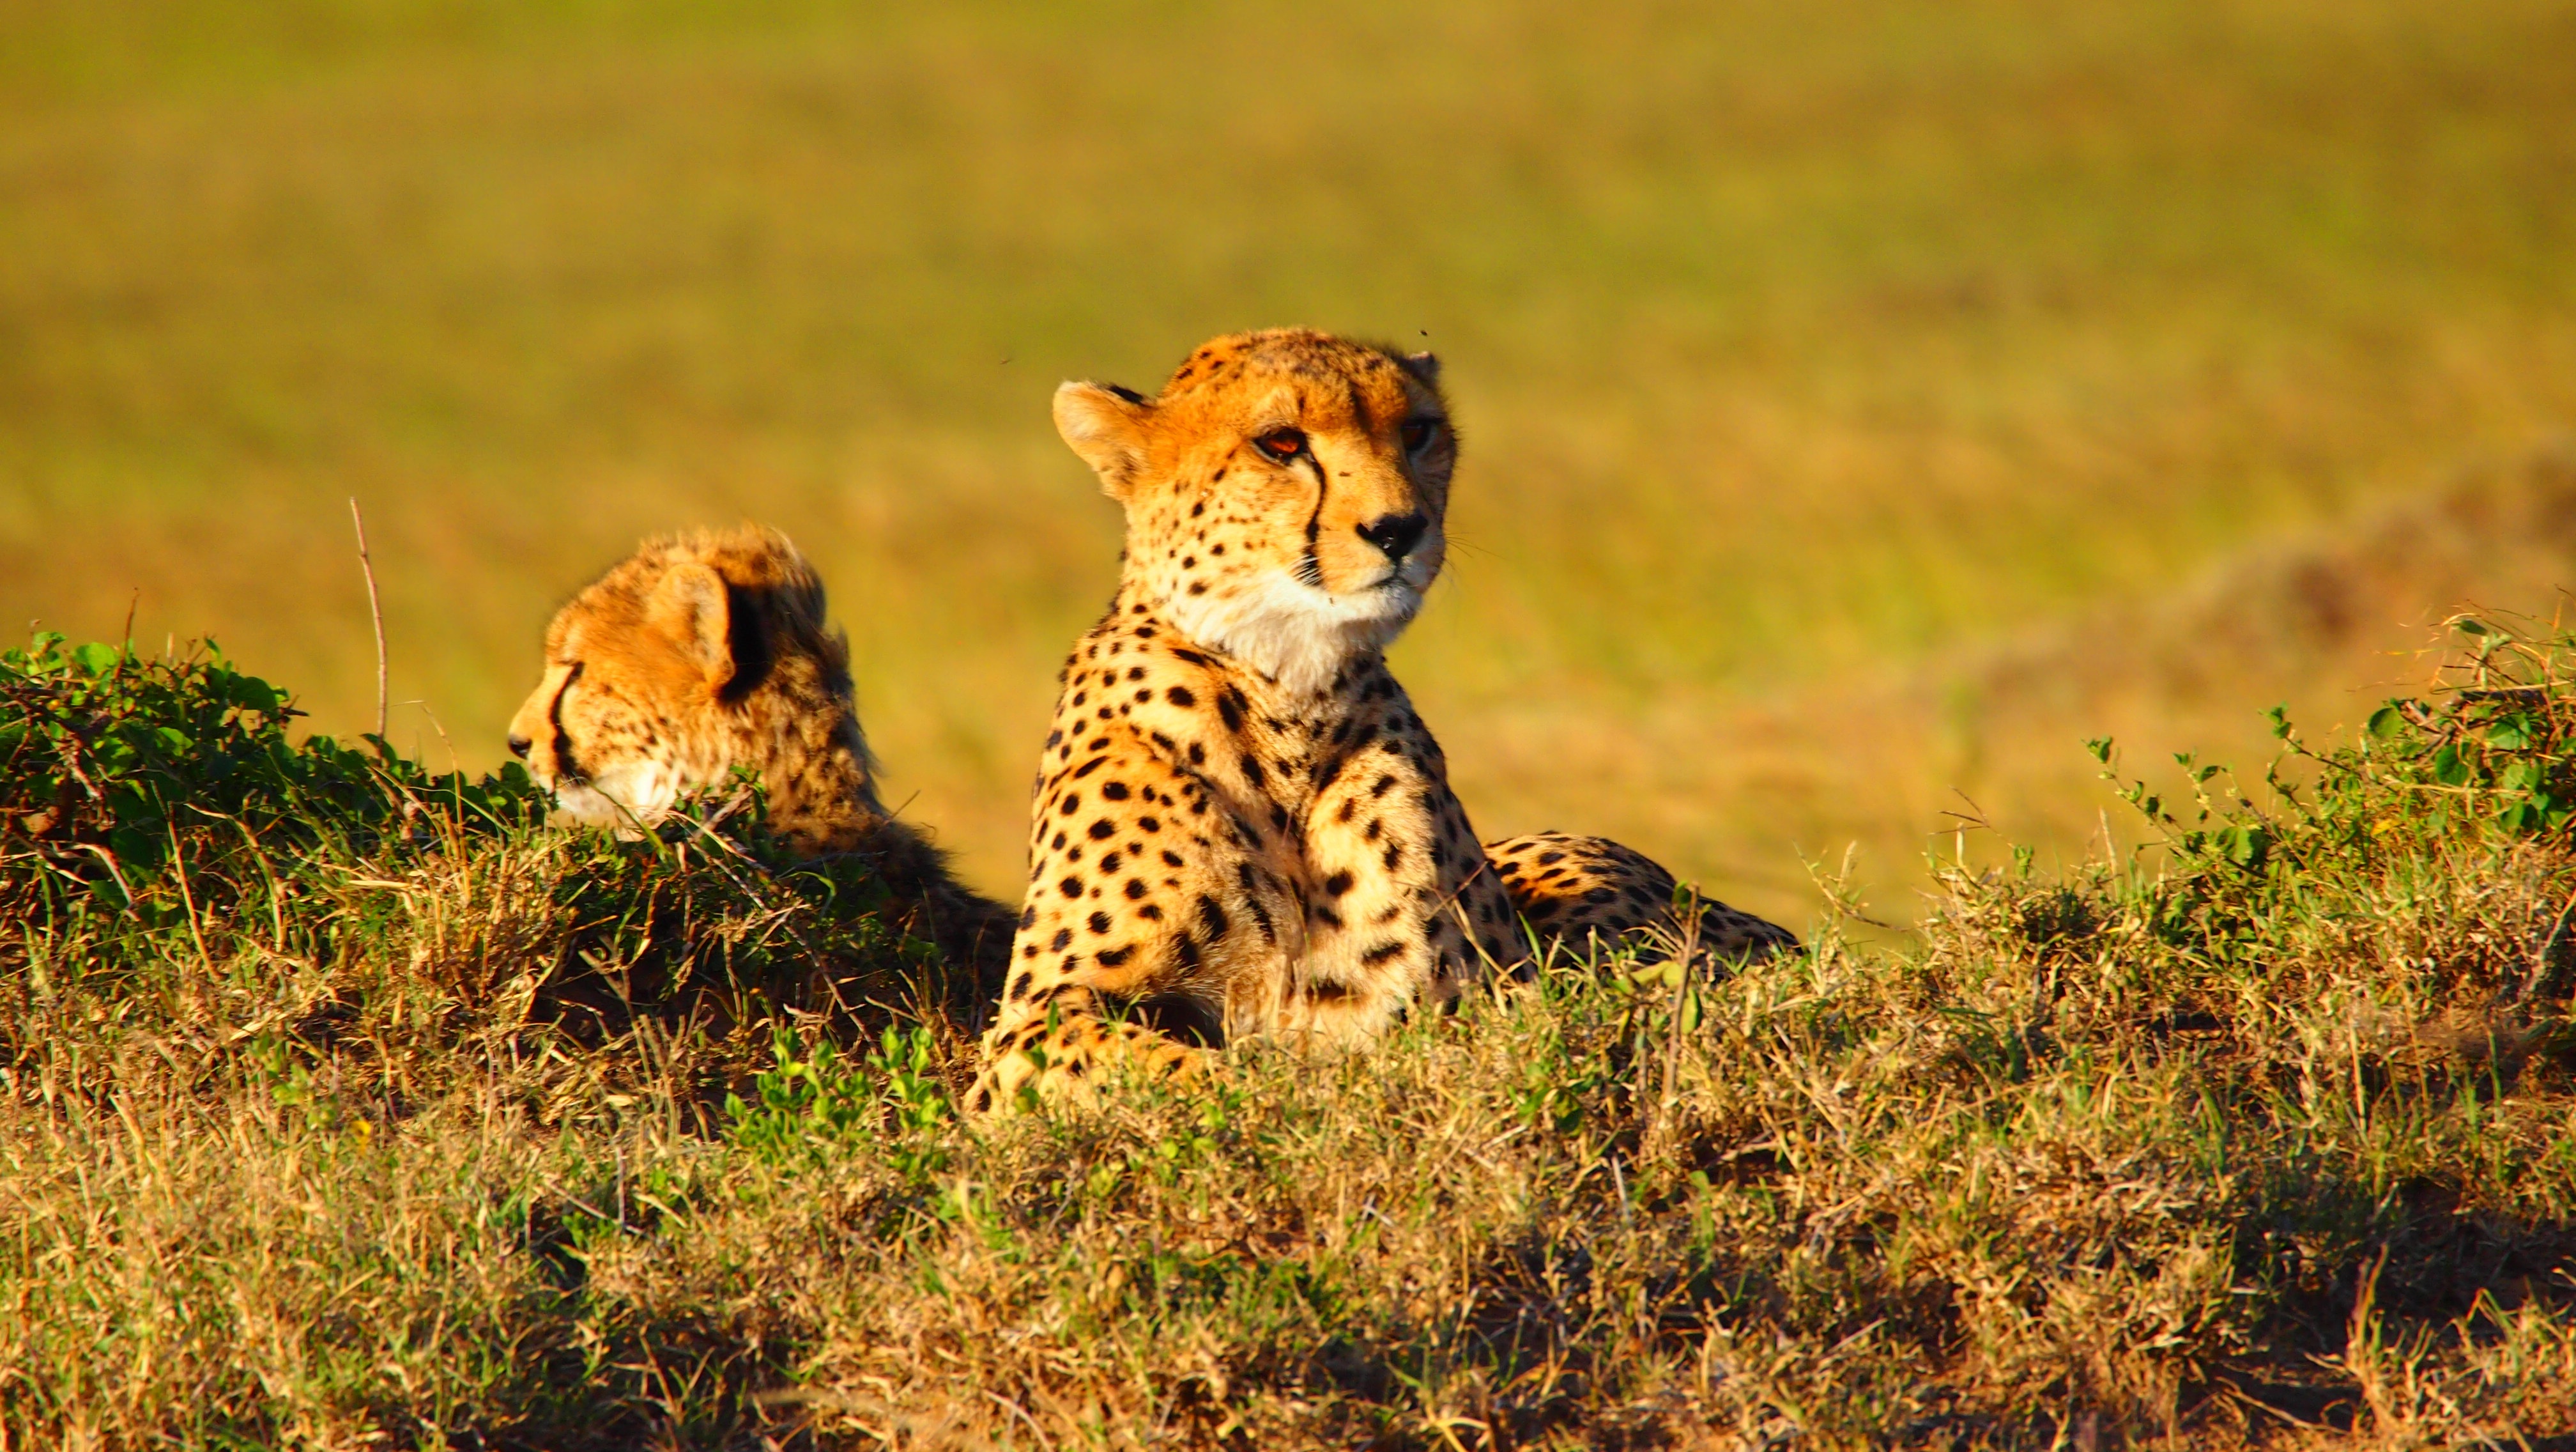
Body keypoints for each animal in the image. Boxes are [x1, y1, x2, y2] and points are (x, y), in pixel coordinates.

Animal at [974, 330, 1803, 1114]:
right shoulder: (1032, 1023)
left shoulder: (1453, 1002)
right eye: (1281, 443)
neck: (1289, 695)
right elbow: (1192, 1071)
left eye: (1418, 431)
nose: (1400, 528)